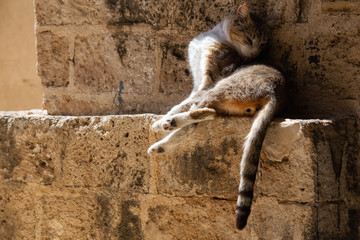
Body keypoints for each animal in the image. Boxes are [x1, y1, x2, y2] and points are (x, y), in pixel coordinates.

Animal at [146, 2, 284, 231]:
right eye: (250, 40)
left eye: (263, 44)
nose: (254, 54)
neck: (217, 36)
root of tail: (275, 92)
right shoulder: (197, 82)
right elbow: (185, 102)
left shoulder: (208, 80)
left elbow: (182, 104)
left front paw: (164, 118)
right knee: (206, 117)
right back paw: (160, 146)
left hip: (221, 87)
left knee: (202, 113)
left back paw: (168, 124)